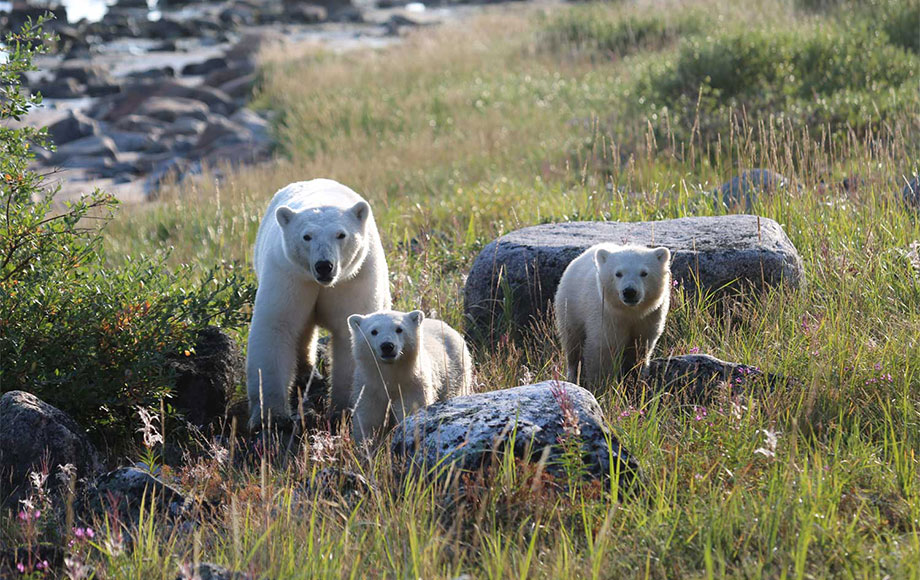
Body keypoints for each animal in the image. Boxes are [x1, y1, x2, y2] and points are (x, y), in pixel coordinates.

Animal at [246, 179, 390, 432]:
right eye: (307, 236)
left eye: (341, 234)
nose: (324, 266)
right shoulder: (289, 274)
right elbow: (276, 326)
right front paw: (271, 416)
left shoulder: (353, 277)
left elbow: (351, 331)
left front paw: (343, 409)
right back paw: (306, 372)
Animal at [346, 310, 470, 442]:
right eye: (374, 331)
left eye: (399, 329)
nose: (387, 346)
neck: (391, 374)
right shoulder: (369, 387)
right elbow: (368, 420)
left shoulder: (412, 384)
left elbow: (409, 409)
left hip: (455, 371)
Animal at [548, 242, 672, 392]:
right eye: (618, 273)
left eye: (644, 273)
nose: (629, 292)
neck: (630, 312)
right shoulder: (606, 315)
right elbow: (603, 351)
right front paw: (601, 387)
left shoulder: (649, 318)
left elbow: (639, 351)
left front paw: (633, 381)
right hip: (571, 308)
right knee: (573, 346)